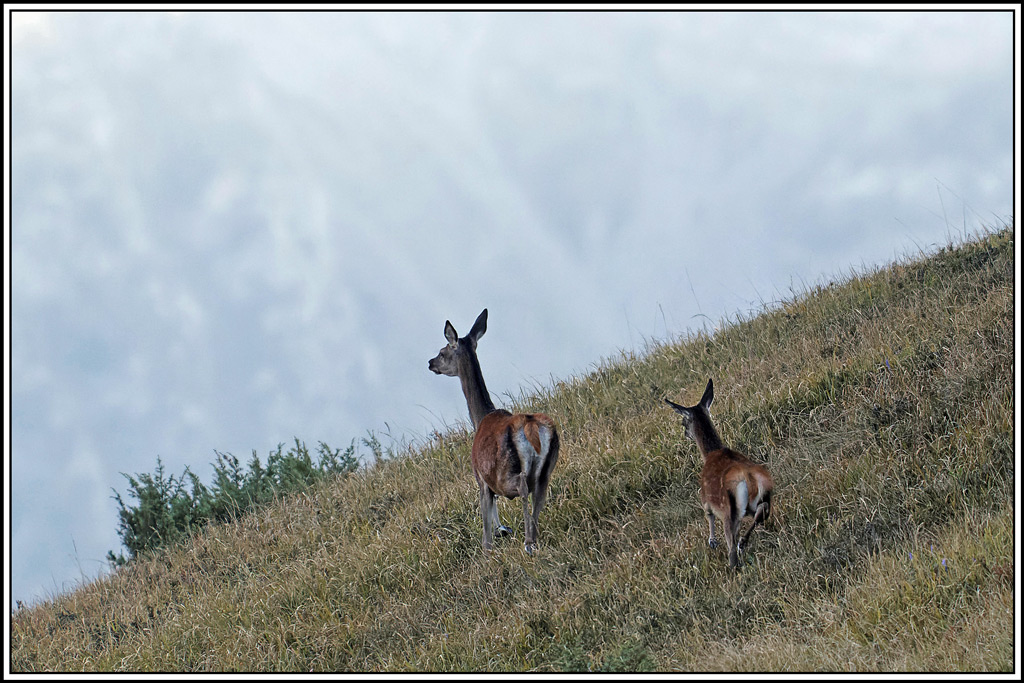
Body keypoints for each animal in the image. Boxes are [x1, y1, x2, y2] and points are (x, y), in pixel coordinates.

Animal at [428, 309, 561, 555]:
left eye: (442, 351)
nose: (430, 362)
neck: (480, 418)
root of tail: (532, 426)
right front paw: (503, 530)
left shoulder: (481, 478)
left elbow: (486, 526)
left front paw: (489, 548)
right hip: (547, 467)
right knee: (540, 494)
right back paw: (534, 538)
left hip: (506, 472)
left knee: (522, 487)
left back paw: (528, 543)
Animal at [665, 379, 774, 569]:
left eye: (683, 422)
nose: (685, 433)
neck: (710, 454)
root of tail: (749, 478)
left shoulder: (704, 497)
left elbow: (708, 515)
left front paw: (712, 541)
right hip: (762, 497)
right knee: (762, 512)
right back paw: (742, 544)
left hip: (729, 511)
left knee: (731, 545)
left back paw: (733, 563)